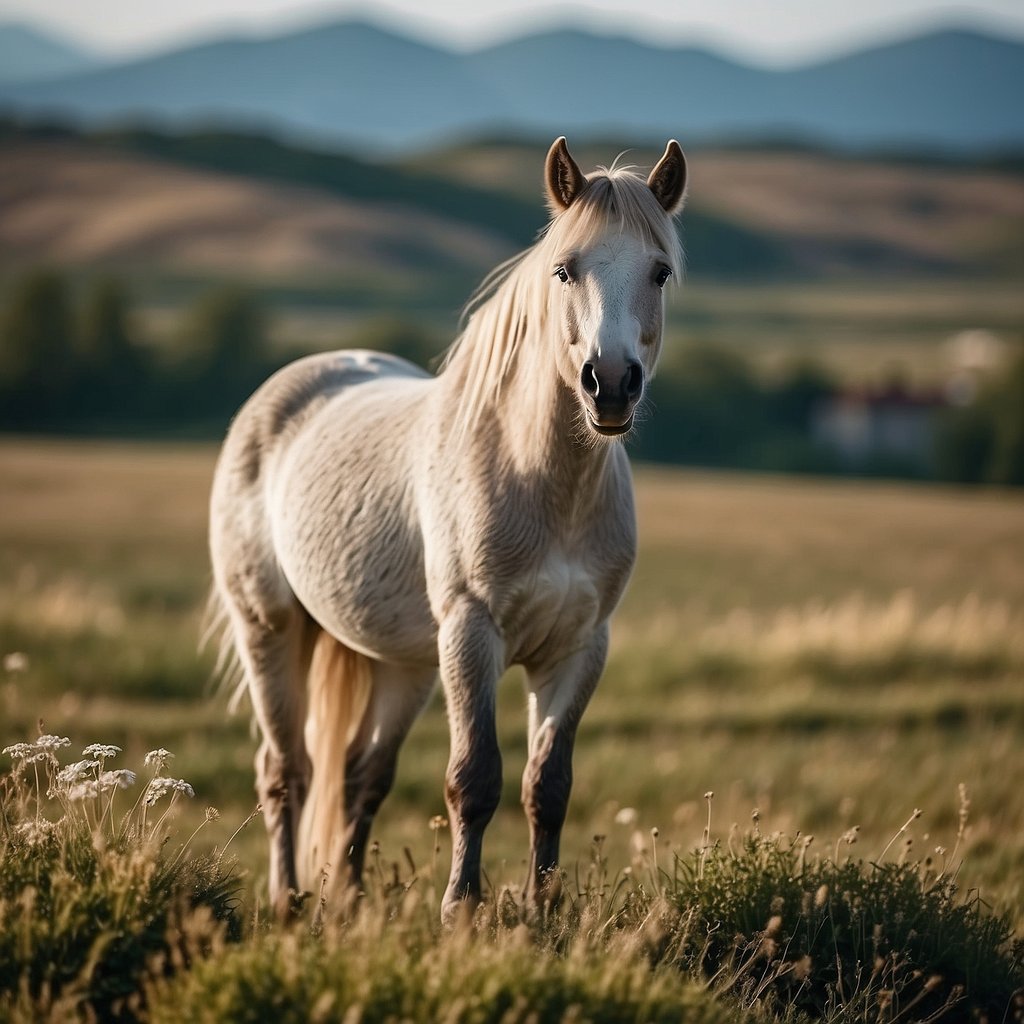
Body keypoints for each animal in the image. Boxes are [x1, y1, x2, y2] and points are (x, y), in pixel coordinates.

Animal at [208, 136, 687, 923]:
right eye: (565, 269)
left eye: (660, 270)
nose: (611, 383)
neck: (545, 484)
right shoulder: (471, 632)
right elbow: (475, 777)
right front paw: (461, 911)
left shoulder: (579, 648)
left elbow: (547, 785)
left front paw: (542, 912)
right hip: (269, 628)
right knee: (286, 770)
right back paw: (287, 903)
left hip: (403, 663)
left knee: (361, 775)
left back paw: (351, 902)